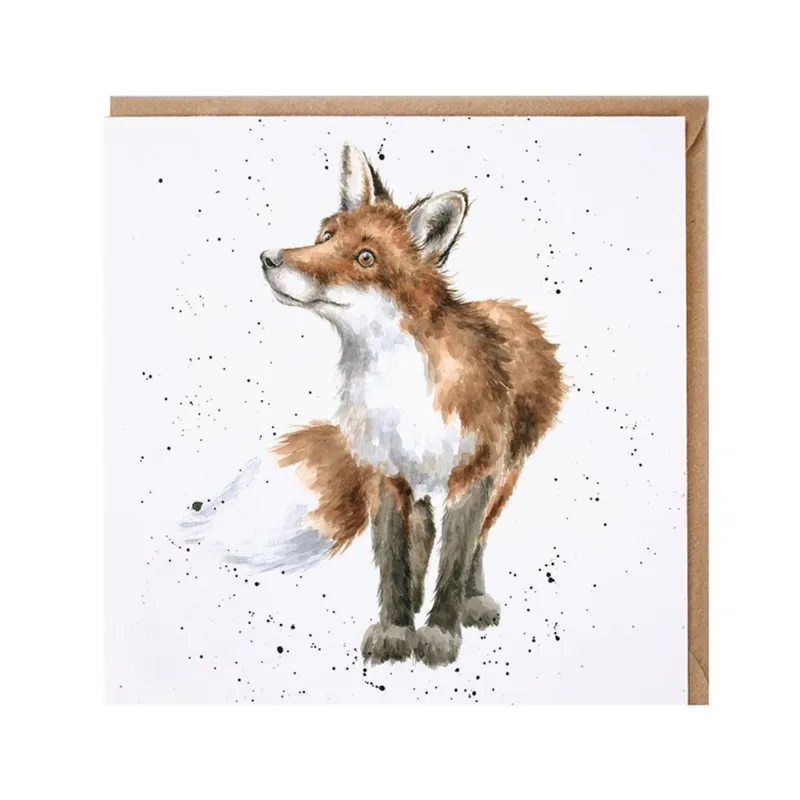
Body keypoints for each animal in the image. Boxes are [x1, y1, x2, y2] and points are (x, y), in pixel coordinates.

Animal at [184, 143, 566, 668]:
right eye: (325, 235)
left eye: (365, 258)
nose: (269, 258)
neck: (399, 389)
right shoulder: (385, 476)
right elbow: (394, 562)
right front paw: (396, 629)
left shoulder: (473, 475)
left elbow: (455, 559)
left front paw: (439, 632)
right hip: (421, 487)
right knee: (424, 538)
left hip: (505, 475)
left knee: (477, 542)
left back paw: (471, 601)